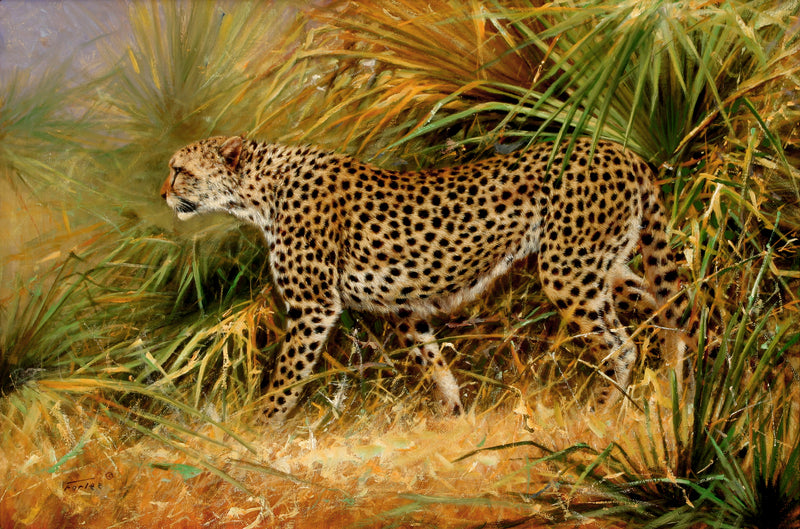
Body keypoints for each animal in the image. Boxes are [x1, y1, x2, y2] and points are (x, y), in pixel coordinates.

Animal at [161, 135, 693, 422]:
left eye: (179, 170)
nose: (163, 193)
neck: (258, 190)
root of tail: (618, 149)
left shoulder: (313, 308)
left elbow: (286, 377)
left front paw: (257, 432)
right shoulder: (403, 308)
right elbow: (435, 366)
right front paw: (454, 420)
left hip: (568, 270)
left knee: (621, 345)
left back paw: (602, 413)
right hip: (607, 265)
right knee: (672, 311)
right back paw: (673, 393)